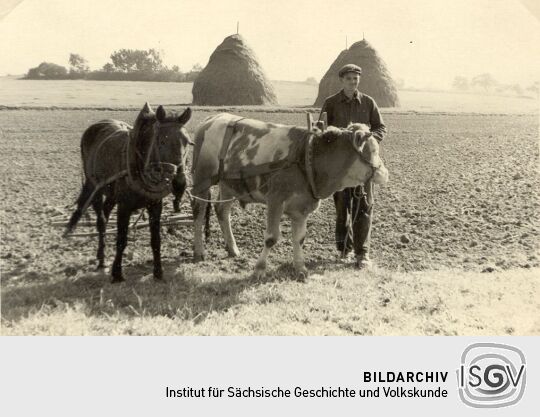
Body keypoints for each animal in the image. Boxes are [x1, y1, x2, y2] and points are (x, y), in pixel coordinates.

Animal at [65, 102, 193, 282]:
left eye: (187, 142)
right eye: (161, 141)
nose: (179, 183)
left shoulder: (155, 205)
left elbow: (156, 240)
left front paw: (158, 272)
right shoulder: (124, 207)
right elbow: (121, 240)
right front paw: (117, 273)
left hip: (111, 195)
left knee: (106, 212)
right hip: (94, 186)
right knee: (101, 221)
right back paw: (101, 259)